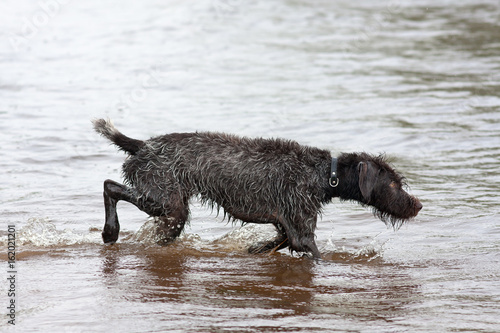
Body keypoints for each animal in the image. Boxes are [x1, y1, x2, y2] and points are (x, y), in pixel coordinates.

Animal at [92, 118, 420, 258]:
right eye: (393, 183)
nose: (418, 205)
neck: (325, 174)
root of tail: (143, 145)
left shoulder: (287, 224)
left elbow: (278, 241)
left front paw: (257, 248)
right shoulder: (301, 229)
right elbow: (312, 251)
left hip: (169, 209)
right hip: (166, 202)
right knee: (109, 186)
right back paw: (110, 231)